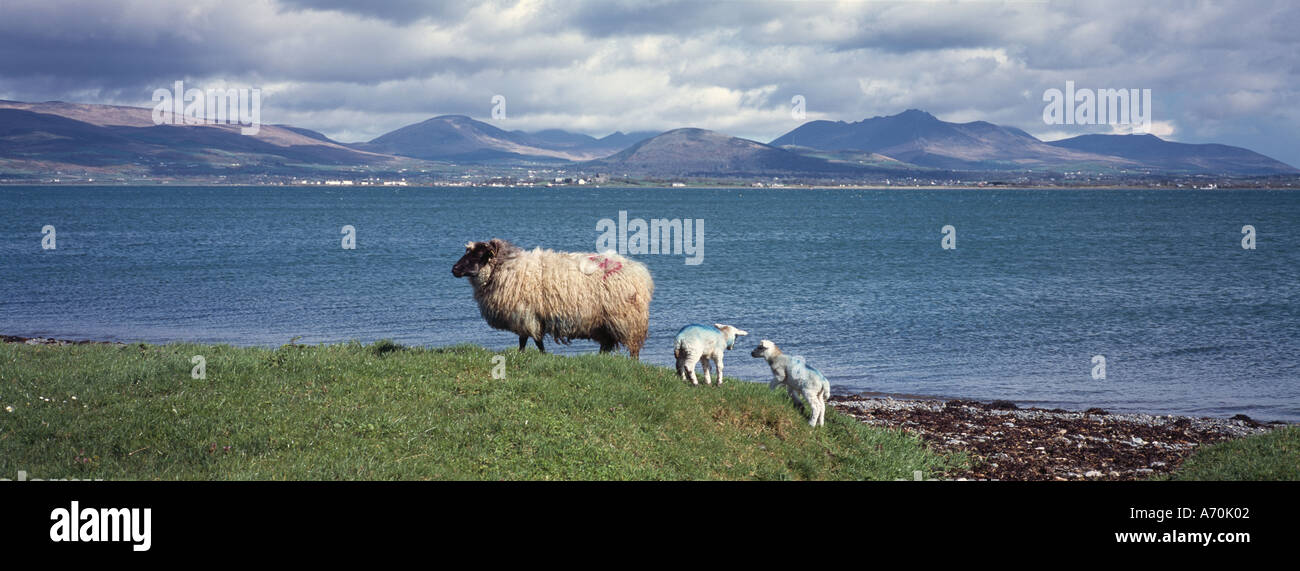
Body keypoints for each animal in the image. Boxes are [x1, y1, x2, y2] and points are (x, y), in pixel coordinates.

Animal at [451, 239, 653, 358]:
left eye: (477, 255)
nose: (454, 269)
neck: (506, 267)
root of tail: (640, 272)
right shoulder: (531, 316)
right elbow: (531, 339)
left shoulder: (526, 314)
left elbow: (529, 339)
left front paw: (532, 355)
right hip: (604, 323)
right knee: (606, 345)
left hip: (627, 320)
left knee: (633, 347)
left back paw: (632, 364)